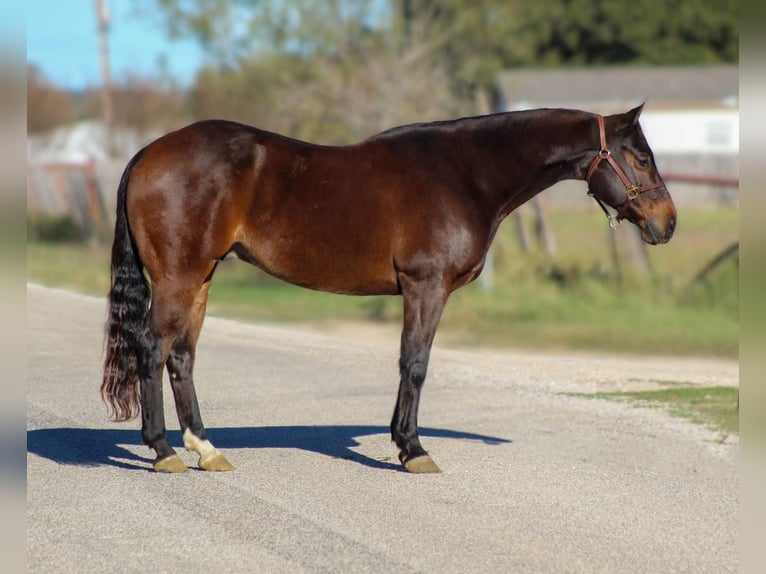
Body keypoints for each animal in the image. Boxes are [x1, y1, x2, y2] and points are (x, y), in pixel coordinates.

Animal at [100, 106, 680, 474]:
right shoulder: (427, 286)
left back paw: (206, 449)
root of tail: (148, 152)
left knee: (182, 358)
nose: (668, 223)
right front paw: (413, 450)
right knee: (152, 350)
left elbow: (410, 364)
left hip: (200, 278)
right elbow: (415, 364)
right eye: (641, 157)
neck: (465, 172)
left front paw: (406, 444)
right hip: (178, 279)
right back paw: (163, 453)